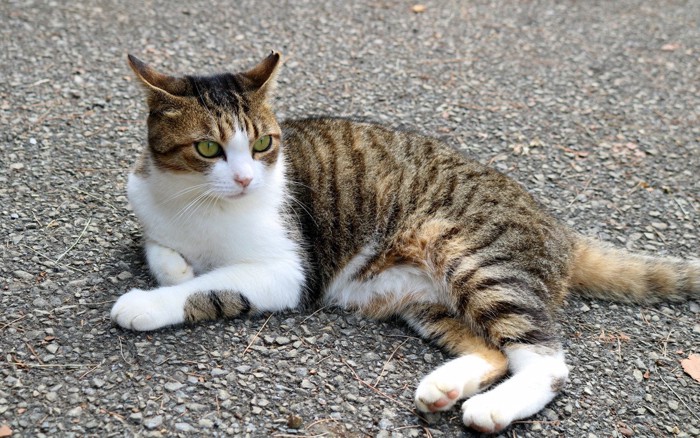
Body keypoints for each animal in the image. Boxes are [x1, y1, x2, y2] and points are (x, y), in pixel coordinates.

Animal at [110, 52, 700, 434]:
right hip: (420, 297)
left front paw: (148, 302)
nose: (244, 180)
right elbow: (158, 248)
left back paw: (492, 409)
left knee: (544, 361)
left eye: (261, 145)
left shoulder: (288, 271)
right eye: (208, 148)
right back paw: (445, 388)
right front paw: (176, 266)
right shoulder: (149, 211)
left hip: (475, 260)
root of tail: (560, 229)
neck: (194, 203)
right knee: (492, 350)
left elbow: (208, 288)